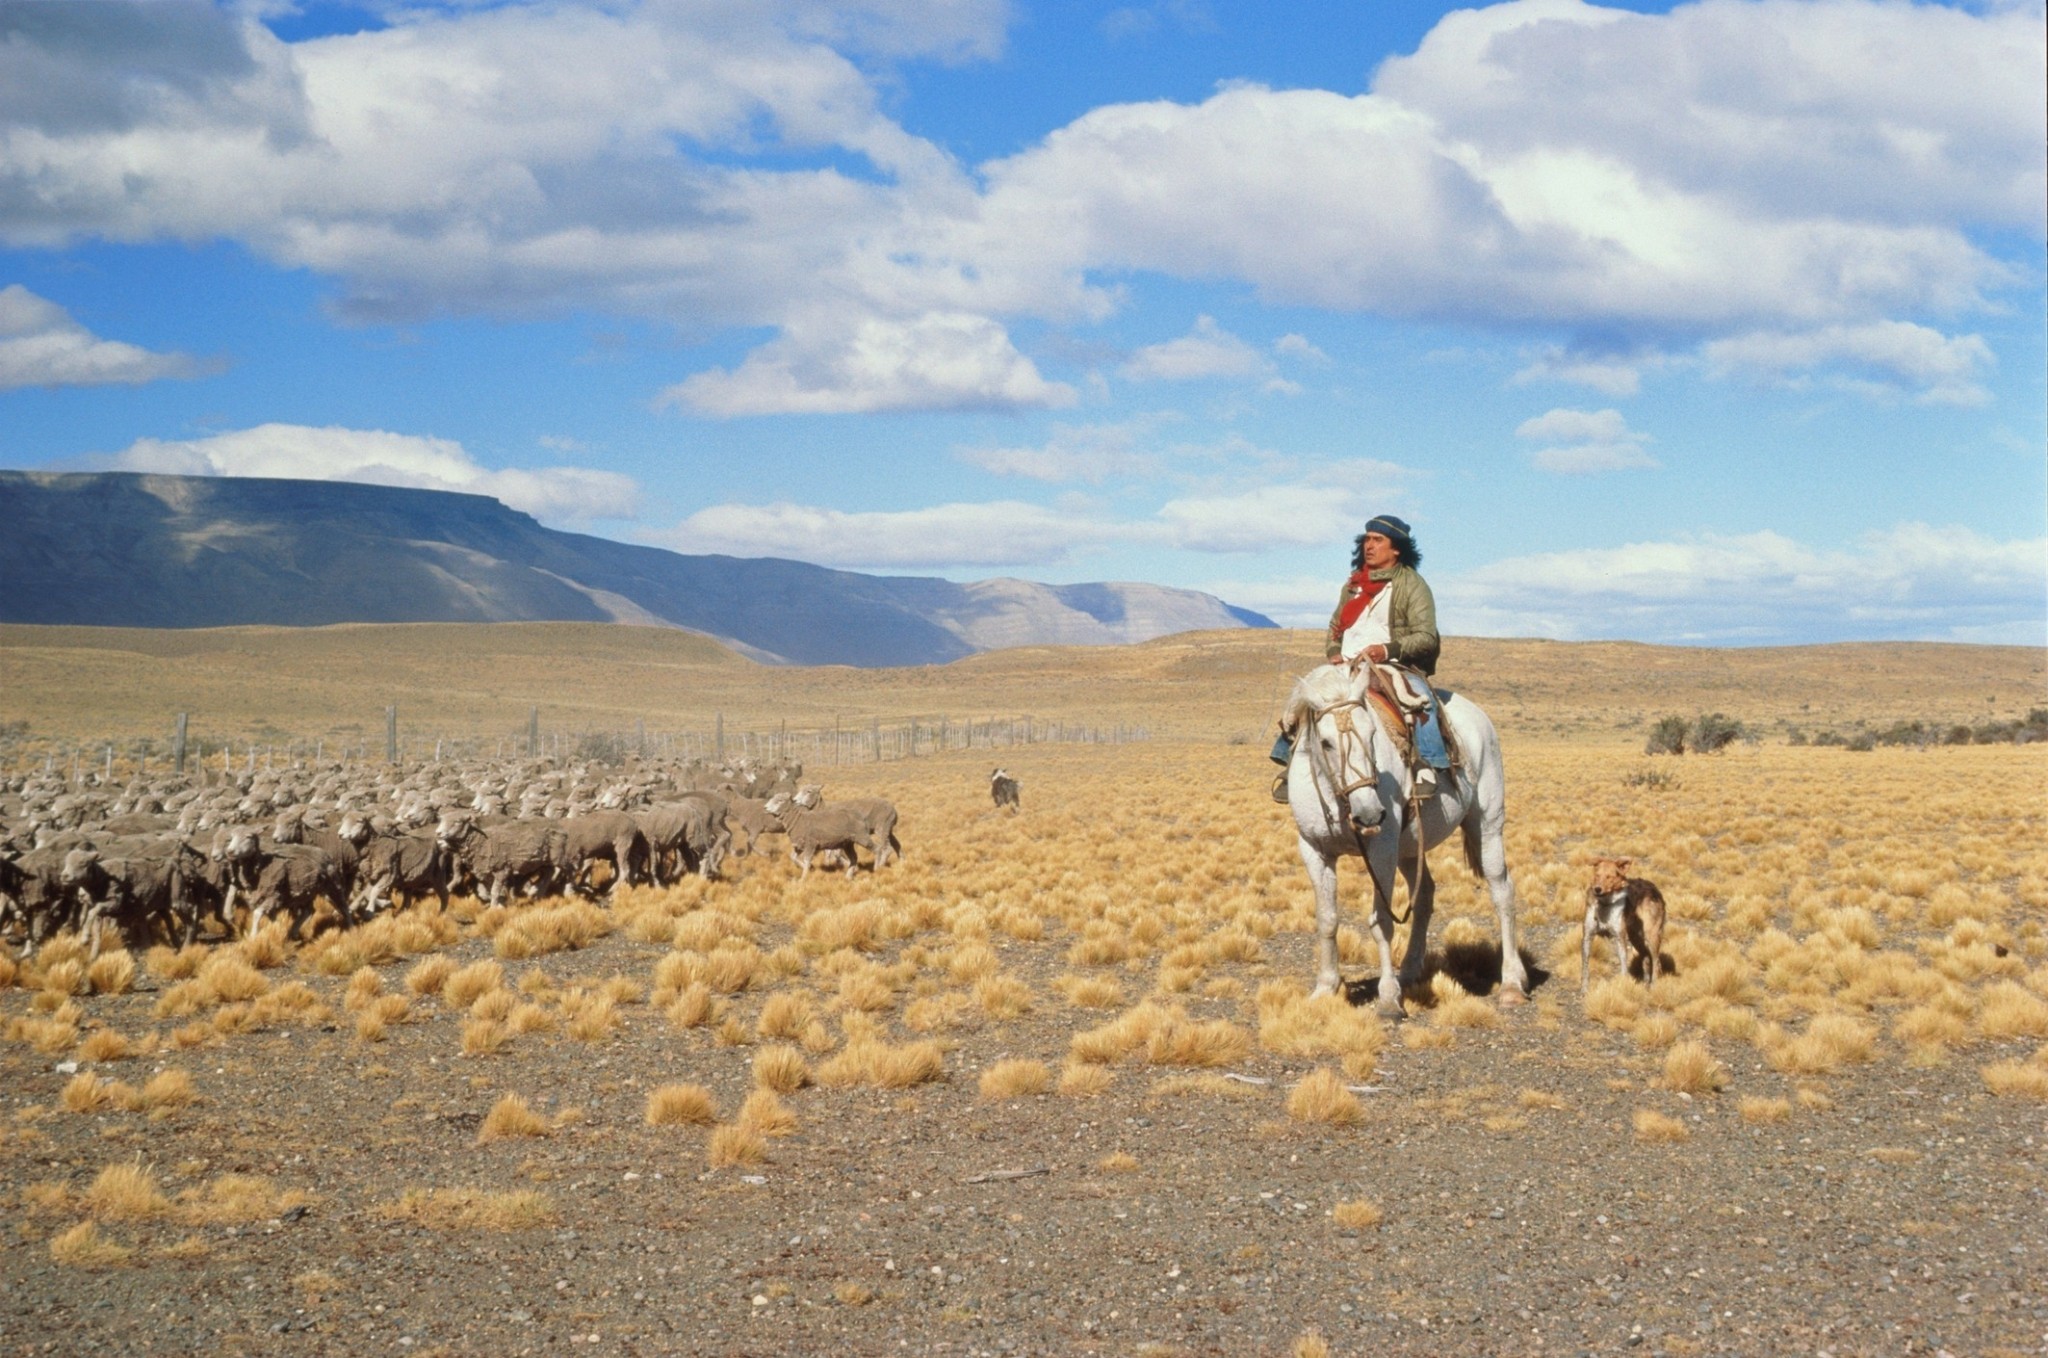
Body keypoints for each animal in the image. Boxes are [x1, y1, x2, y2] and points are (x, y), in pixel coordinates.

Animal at [1277, 663, 1523, 1015]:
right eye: (1325, 743)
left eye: (1372, 734)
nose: (1369, 815)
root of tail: (1479, 718)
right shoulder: (1314, 850)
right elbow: (1326, 919)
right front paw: (1325, 989)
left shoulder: (1382, 850)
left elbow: (1381, 922)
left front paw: (1389, 999)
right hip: (1410, 849)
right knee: (1425, 896)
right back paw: (1408, 970)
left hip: (1487, 825)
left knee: (1502, 892)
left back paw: (1512, 983)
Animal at [1581, 864, 1662, 995]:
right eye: (1597, 875)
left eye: (1609, 877)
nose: (1597, 889)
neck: (1605, 905)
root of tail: (1653, 887)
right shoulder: (1587, 937)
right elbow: (1585, 966)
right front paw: (1584, 990)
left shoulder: (1619, 938)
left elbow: (1623, 967)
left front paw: (1623, 987)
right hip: (1635, 938)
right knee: (1646, 957)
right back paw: (1645, 985)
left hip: (1651, 937)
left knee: (1656, 962)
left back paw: (1653, 987)